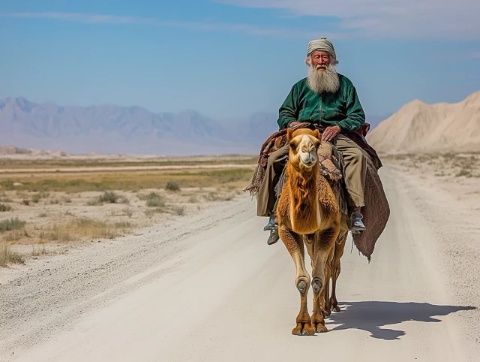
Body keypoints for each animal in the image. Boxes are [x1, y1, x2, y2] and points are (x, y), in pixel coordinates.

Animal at [274, 128, 348, 336]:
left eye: (315, 144)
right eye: (292, 144)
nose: (307, 151)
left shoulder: (331, 229)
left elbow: (318, 277)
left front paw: (317, 322)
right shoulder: (286, 229)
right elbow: (302, 279)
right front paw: (302, 324)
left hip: (341, 235)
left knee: (333, 266)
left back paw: (331, 305)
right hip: (311, 238)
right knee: (320, 263)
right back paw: (324, 307)